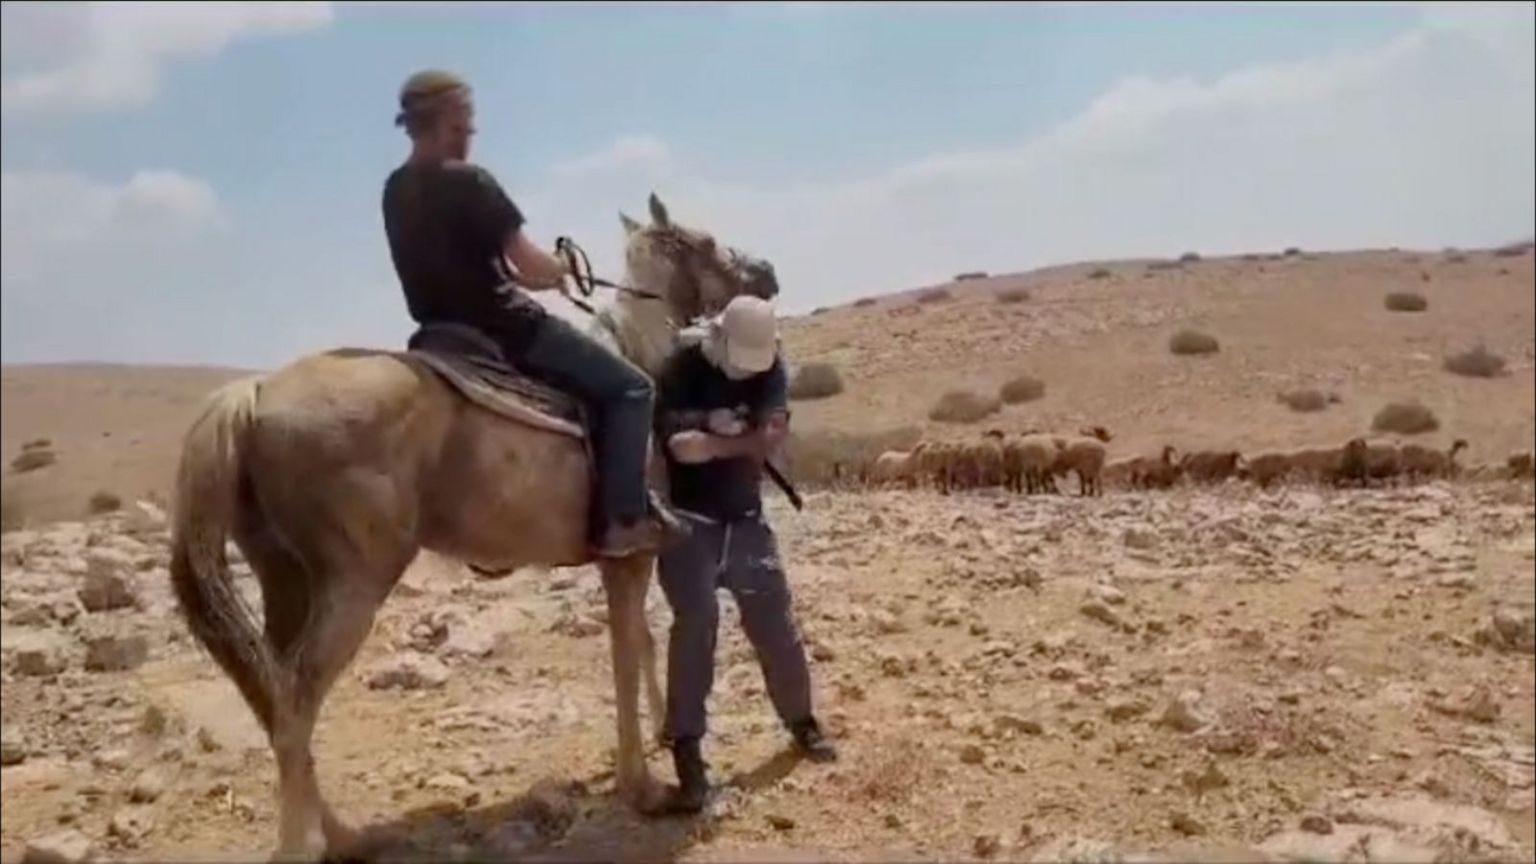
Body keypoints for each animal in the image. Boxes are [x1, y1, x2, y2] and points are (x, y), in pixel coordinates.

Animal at [168, 191, 780, 854]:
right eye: (706, 241)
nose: (766, 274)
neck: (640, 359)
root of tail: (252, 393)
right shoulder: (629, 555)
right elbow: (626, 652)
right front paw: (642, 787)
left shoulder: (620, 564)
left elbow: (639, 644)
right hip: (353, 584)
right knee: (298, 698)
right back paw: (307, 844)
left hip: (284, 577)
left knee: (275, 692)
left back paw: (344, 833)